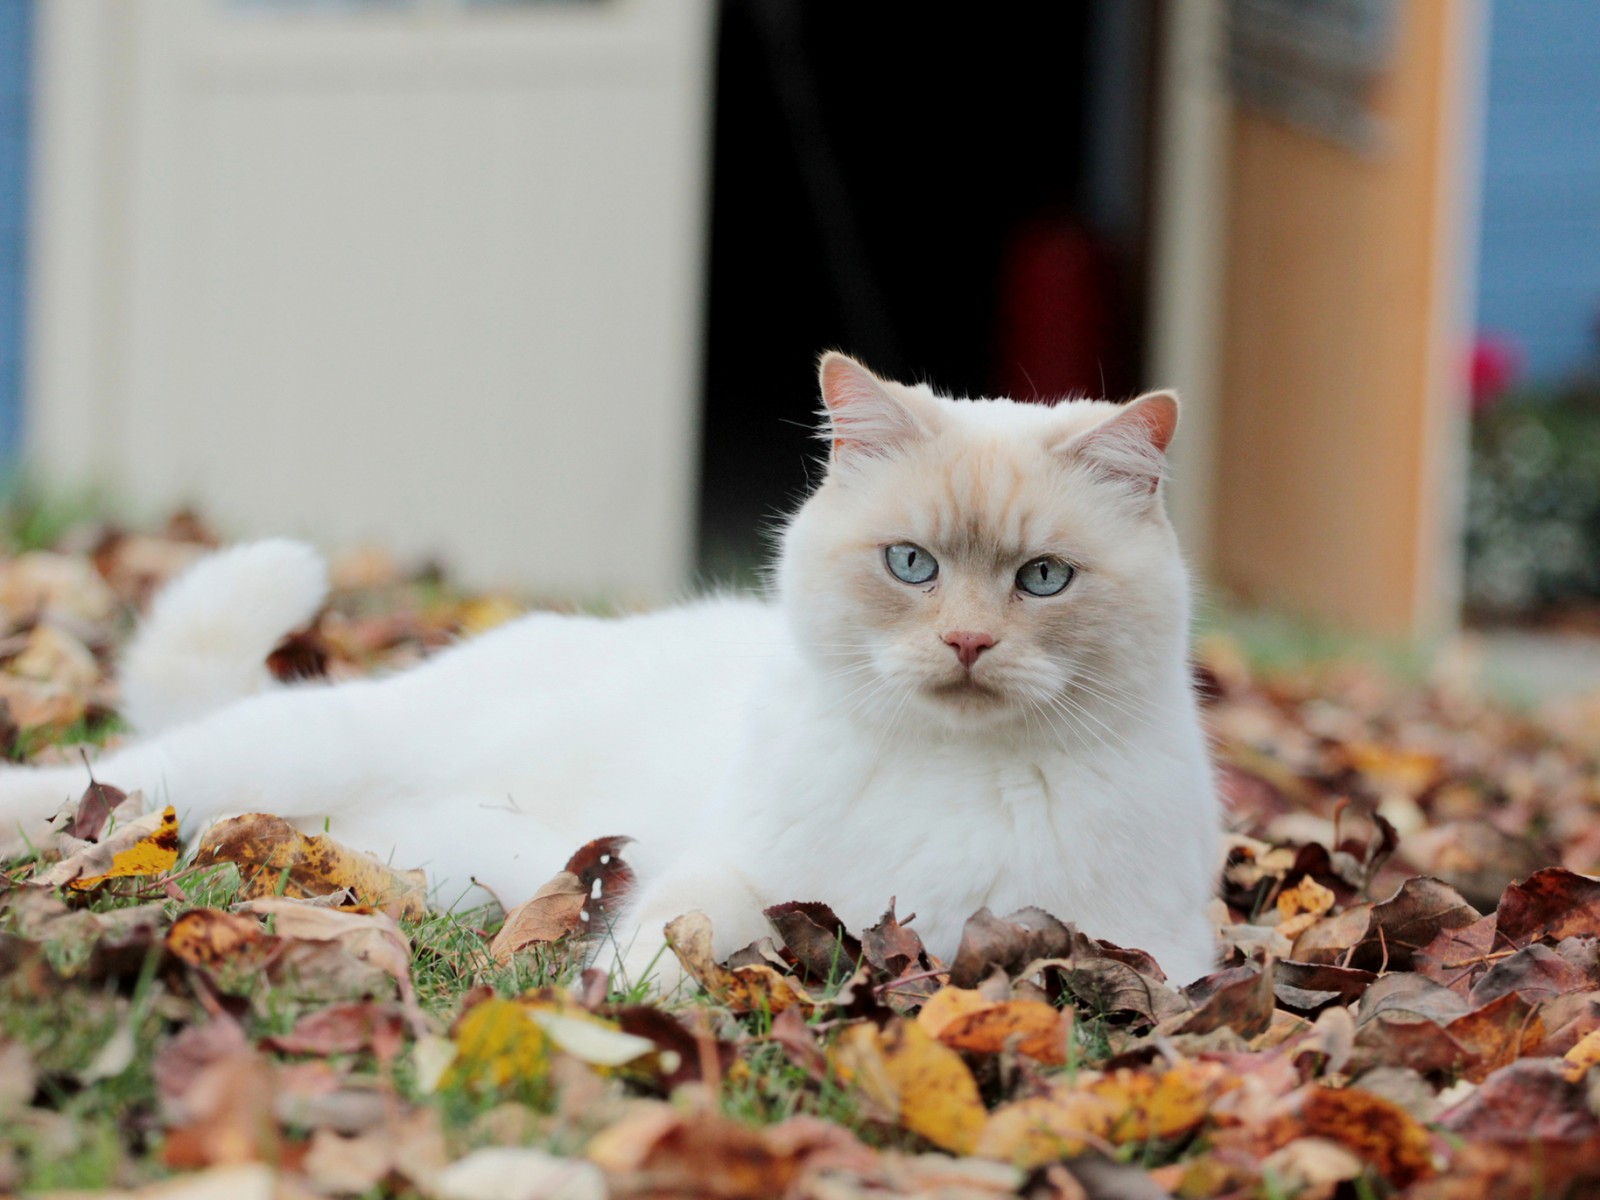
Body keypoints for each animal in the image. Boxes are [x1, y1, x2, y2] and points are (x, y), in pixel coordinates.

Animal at [0, 355, 1216, 985]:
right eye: (911, 565)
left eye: (1043, 580)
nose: (967, 644)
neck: (953, 778)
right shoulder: (733, 875)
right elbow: (673, 950)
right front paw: (622, 1019)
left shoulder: (1145, 953)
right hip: (284, 753)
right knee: (101, 780)